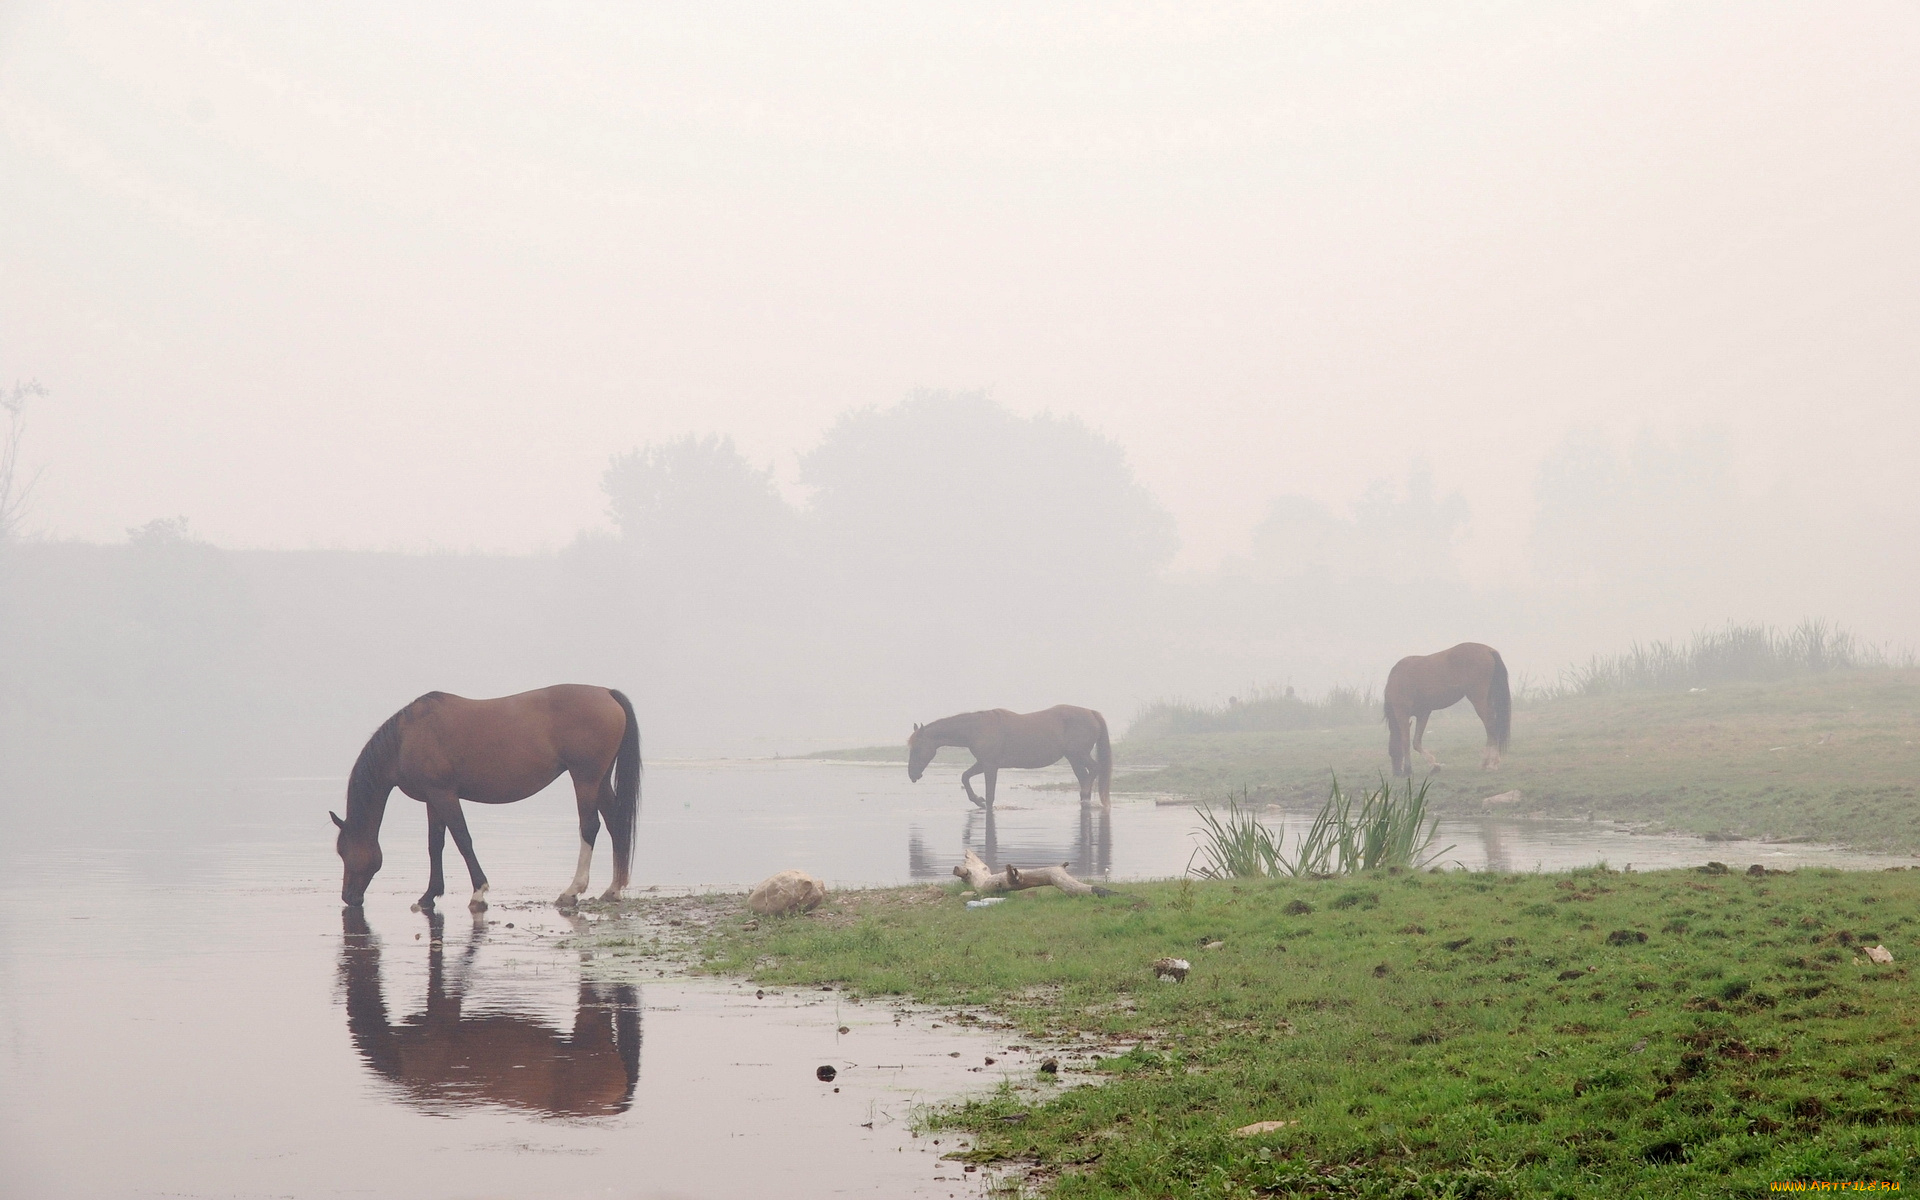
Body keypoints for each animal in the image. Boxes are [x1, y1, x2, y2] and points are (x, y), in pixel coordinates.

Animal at [334, 683, 641, 906]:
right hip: (600, 781)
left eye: (343, 851)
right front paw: (429, 896)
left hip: (585, 779)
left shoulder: (445, 795)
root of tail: (606, 693)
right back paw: (613, 889)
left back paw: (572, 890)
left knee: (590, 827)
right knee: (615, 824)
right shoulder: (432, 800)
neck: (406, 738)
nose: (348, 898)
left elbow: (462, 839)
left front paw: (478, 891)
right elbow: (435, 845)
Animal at [910, 706, 1121, 810]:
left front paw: (983, 802)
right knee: (1085, 776)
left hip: (1079, 754)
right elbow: (965, 776)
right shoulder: (982, 763)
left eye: (917, 747)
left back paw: (1085, 796)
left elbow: (990, 795)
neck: (977, 728)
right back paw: (1085, 799)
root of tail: (1092, 713)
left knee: (1094, 770)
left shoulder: (990, 766)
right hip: (1074, 758)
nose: (912, 775)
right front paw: (977, 800)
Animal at [1390, 637, 1505, 775]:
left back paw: (1491, 763)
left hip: (1479, 701)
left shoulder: (1402, 712)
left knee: (1490, 725)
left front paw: (1408, 769)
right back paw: (1487, 762)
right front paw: (1433, 765)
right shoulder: (1423, 713)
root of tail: (1488, 650)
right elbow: (1416, 742)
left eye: (1391, 751)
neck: (1397, 678)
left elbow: (1406, 741)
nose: (1396, 773)